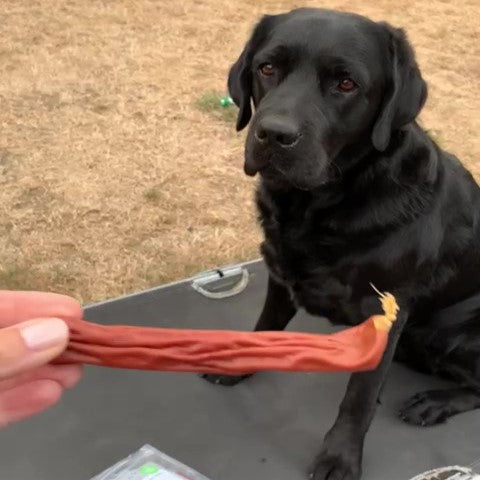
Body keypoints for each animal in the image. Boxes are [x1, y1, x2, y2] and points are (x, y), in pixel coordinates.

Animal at [202, 7, 480, 480]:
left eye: (346, 84)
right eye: (267, 68)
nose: (273, 134)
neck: (318, 206)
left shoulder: (386, 308)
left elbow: (359, 398)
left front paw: (340, 456)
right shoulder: (280, 275)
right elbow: (265, 329)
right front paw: (241, 364)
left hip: (453, 333)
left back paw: (434, 402)